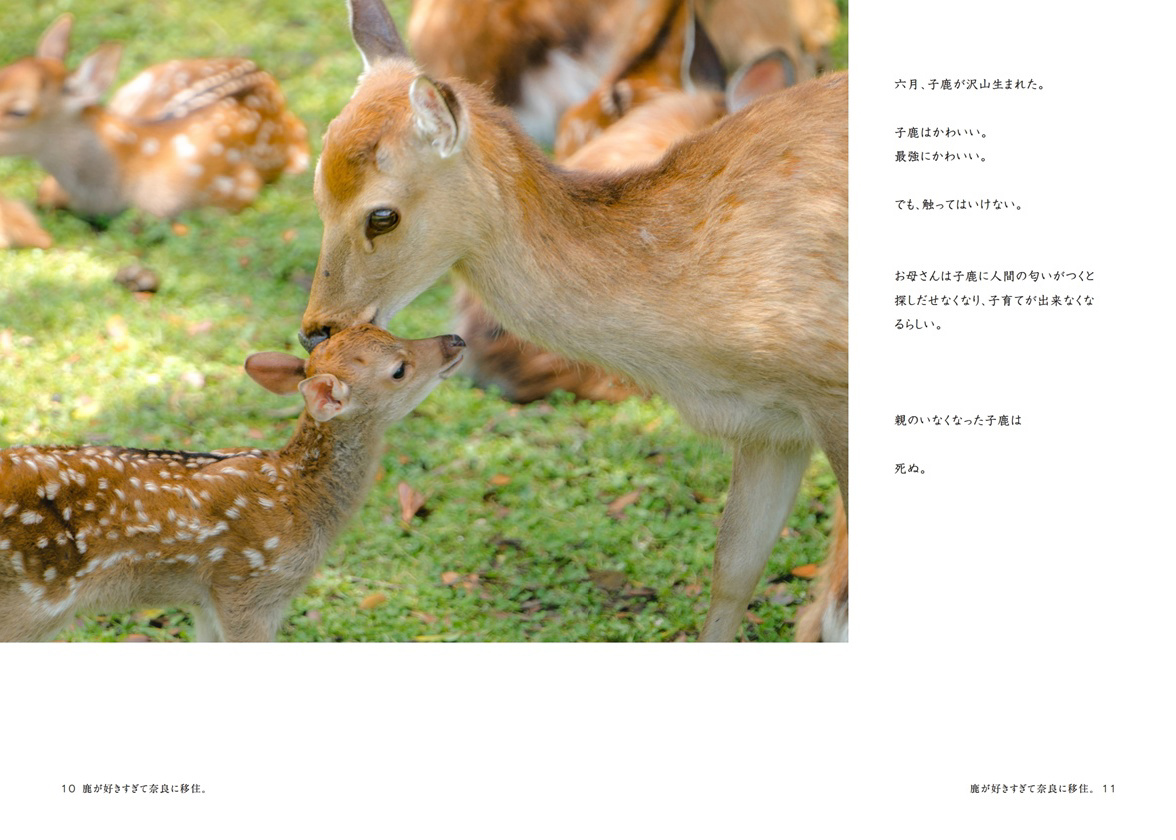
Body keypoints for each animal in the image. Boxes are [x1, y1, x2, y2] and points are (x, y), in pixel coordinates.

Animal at [0, 325, 465, 642]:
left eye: (388, 329)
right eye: (399, 370)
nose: (455, 340)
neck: (302, 495)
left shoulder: (206, 597)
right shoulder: (249, 587)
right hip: (30, 603)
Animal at [299, 0, 848, 642]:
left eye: (382, 215)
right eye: (317, 192)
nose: (315, 328)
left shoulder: (830, 399)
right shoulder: (772, 426)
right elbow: (734, 571)